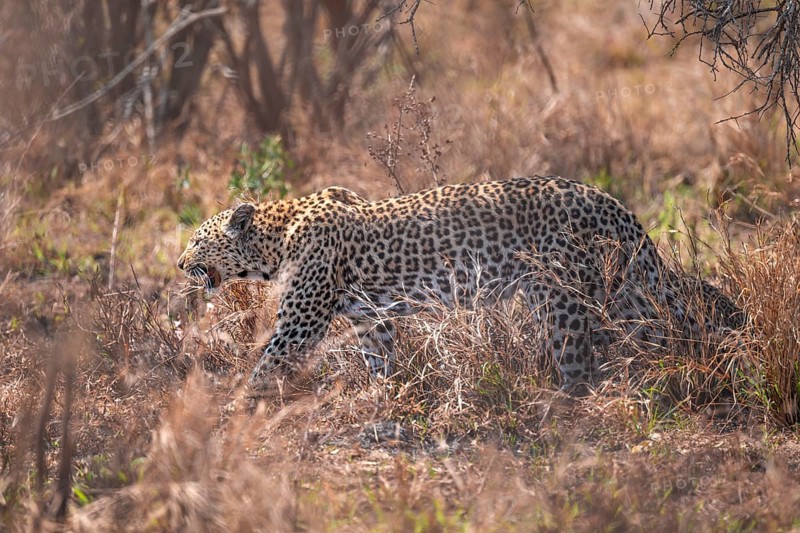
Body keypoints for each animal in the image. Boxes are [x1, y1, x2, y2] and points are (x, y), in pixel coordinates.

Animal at [177, 176, 745, 393]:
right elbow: (380, 361)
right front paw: (384, 397)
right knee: (674, 324)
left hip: (570, 299)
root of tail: (611, 203)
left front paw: (231, 413)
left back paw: (564, 409)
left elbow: (266, 362)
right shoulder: (370, 319)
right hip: (620, 293)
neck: (275, 239)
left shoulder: (301, 323)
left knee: (582, 364)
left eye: (197, 240)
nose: (180, 263)